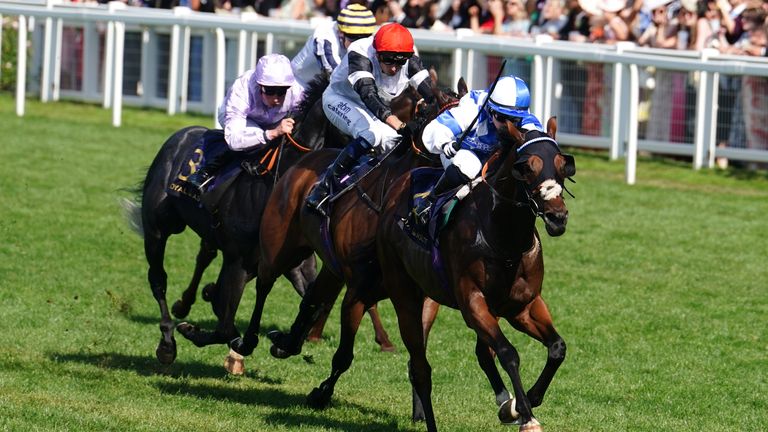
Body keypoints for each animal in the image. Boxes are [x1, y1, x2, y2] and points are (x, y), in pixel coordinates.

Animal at [378, 118, 576, 432]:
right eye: (527, 167)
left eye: (562, 165)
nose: (558, 217)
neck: (504, 239)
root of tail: (396, 189)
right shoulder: (473, 302)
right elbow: (508, 353)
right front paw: (526, 415)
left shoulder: (523, 306)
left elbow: (557, 347)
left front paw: (524, 401)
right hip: (405, 296)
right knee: (421, 368)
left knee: (481, 353)